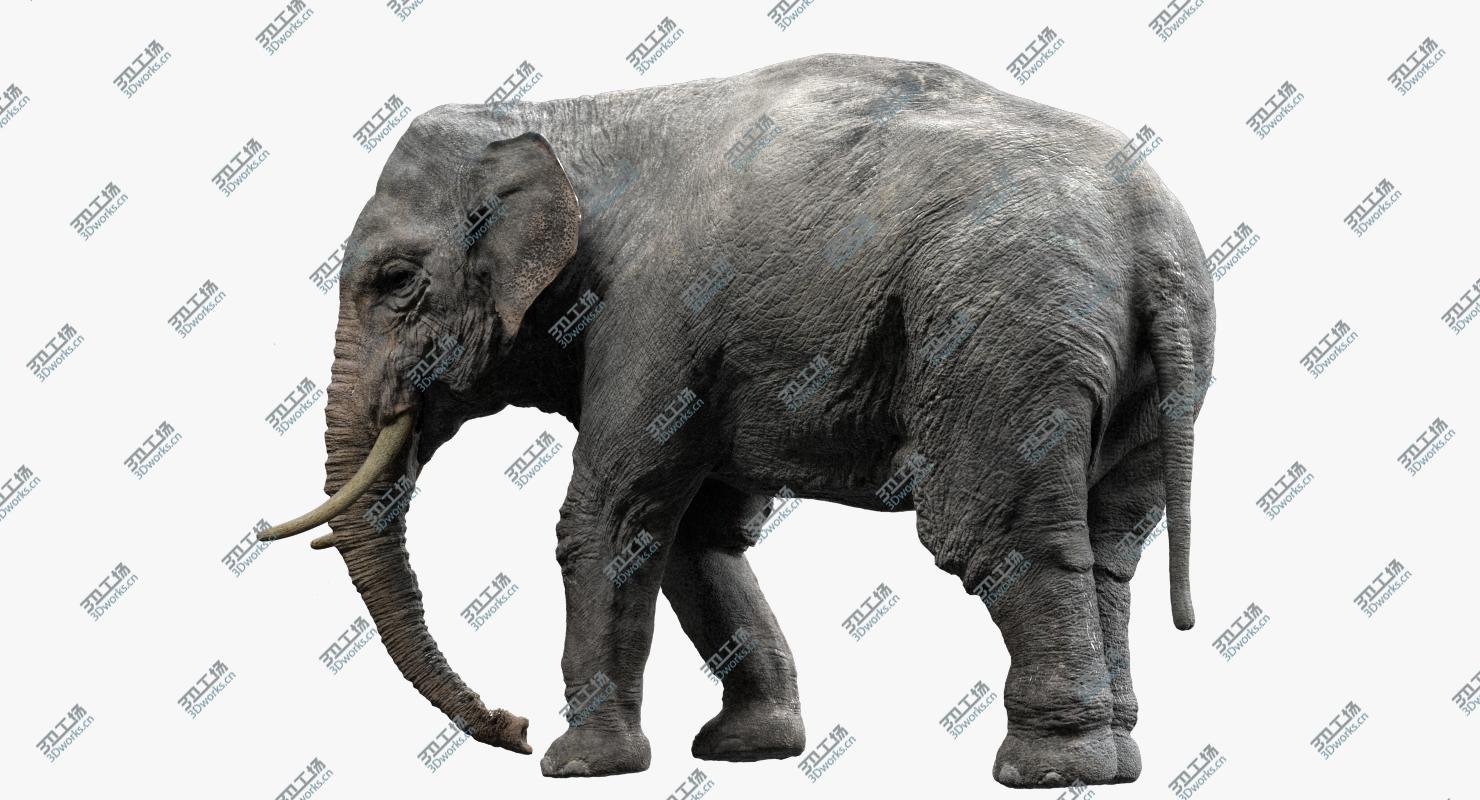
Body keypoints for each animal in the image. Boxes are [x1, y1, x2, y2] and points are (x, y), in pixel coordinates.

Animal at [258, 53, 1214, 789]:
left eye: (395, 281)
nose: (512, 726)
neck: (564, 118)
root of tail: (1154, 245)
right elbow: (698, 528)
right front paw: (749, 751)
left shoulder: (654, 315)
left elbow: (614, 515)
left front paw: (579, 767)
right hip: (1145, 373)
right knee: (1111, 546)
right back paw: (1117, 759)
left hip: (1003, 337)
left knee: (997, 534)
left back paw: (1049, 770)